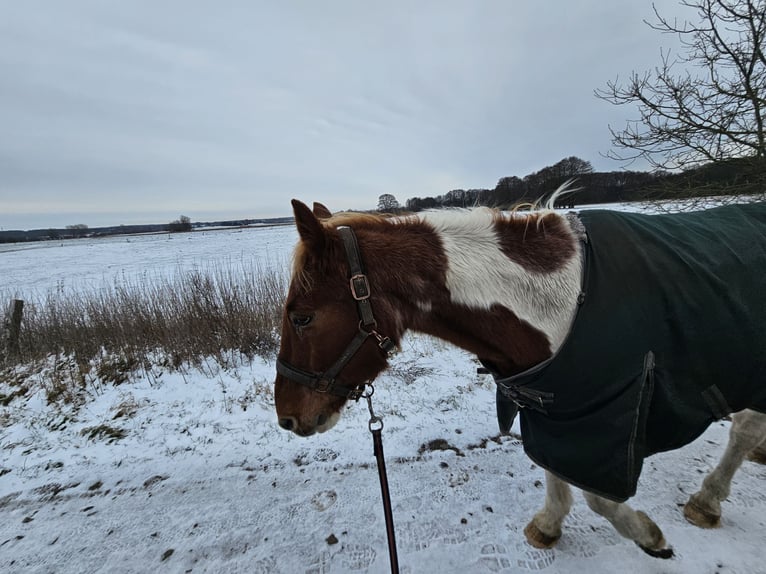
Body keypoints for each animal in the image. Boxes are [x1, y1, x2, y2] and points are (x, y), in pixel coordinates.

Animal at [274, 196, 766, 560]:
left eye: (301, 317)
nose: (287, 417)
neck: (565, 302)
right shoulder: (556, 409)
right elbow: (555, 469)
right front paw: (549, 525)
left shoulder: (607, 424)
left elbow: (600, 496)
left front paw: (648, 534)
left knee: (743, 429)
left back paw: (707, 501)